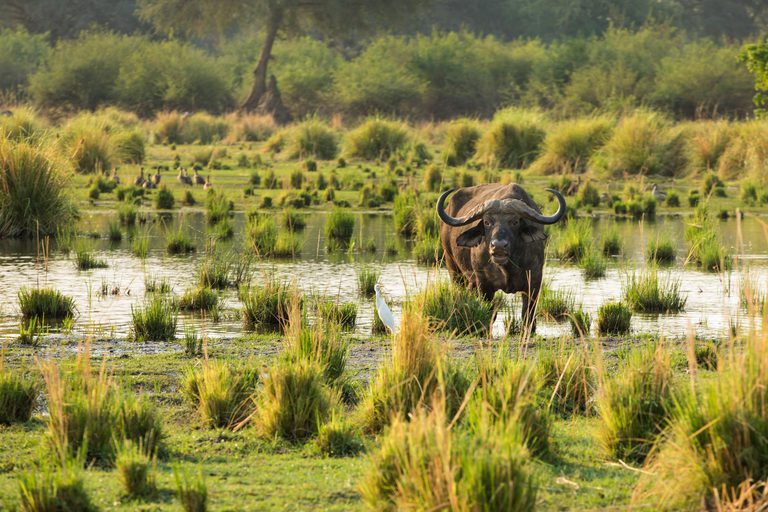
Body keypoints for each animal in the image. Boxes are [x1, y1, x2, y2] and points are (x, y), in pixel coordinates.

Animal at [436, 183, 566, 330]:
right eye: (487, 222)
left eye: (515, 222)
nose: (498, 246)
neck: (507, 268)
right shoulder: (484, 284)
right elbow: (489, 314)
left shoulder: (534, 282)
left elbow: (528, 316)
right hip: (452, 267)